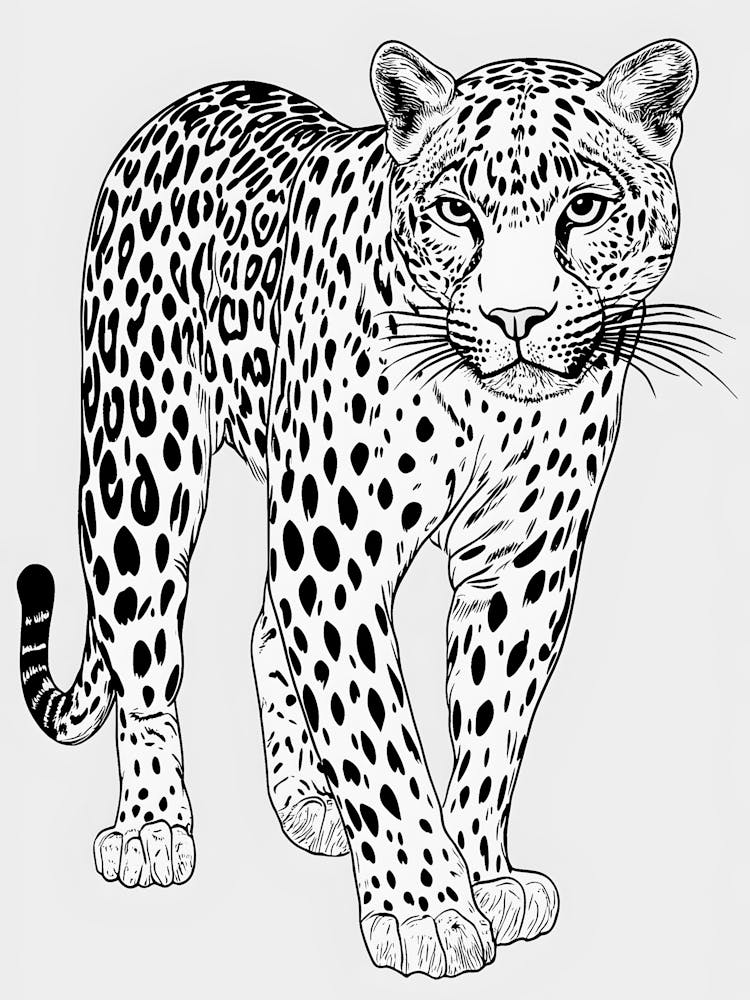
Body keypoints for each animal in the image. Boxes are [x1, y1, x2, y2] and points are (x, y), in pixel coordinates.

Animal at [17, 38, 699, 977]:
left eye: (586, 209)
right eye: (456, 212)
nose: (516, 318)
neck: (487, 407)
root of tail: (190, 100)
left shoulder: (521, 565)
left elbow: (488, 730)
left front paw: (484, 877)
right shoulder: (332, 557)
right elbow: (376, 733)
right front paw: (428, 913)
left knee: (262, 628)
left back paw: (309, 799)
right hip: (141, 464)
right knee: (144, 654)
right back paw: (152, 828)